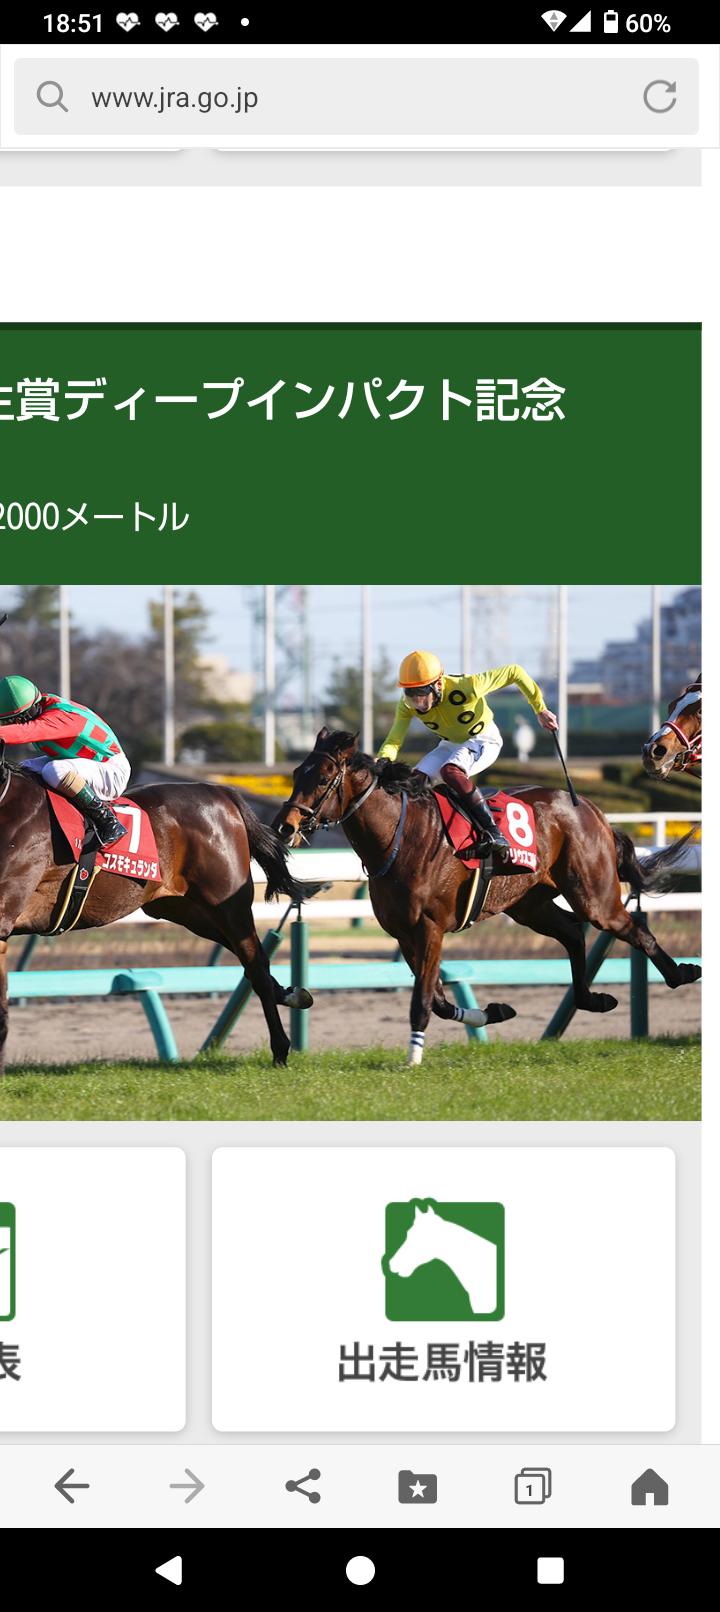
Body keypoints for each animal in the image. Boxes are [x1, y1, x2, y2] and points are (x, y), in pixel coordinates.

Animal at [0, 740, 313, 1074]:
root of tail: (221, 792)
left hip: (228, 903)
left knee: (255, 963)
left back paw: (281, 1049)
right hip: (184, 910)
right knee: (251, 959)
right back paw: (290, 994)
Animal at [273, 728, 701, 1065]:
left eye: (324, 776)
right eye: (295, 773)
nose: (285, 826)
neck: (401, 836)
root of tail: (590, 808)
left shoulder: (430, 928)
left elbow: (422, 1001)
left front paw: (413, 1057)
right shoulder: (404, 933)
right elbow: (439, 1000)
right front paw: (492, 1012)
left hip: (593, 895)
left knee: (634, 930)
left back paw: (681, 973)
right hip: (531, 904)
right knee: (572, 933)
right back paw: (594, 999)